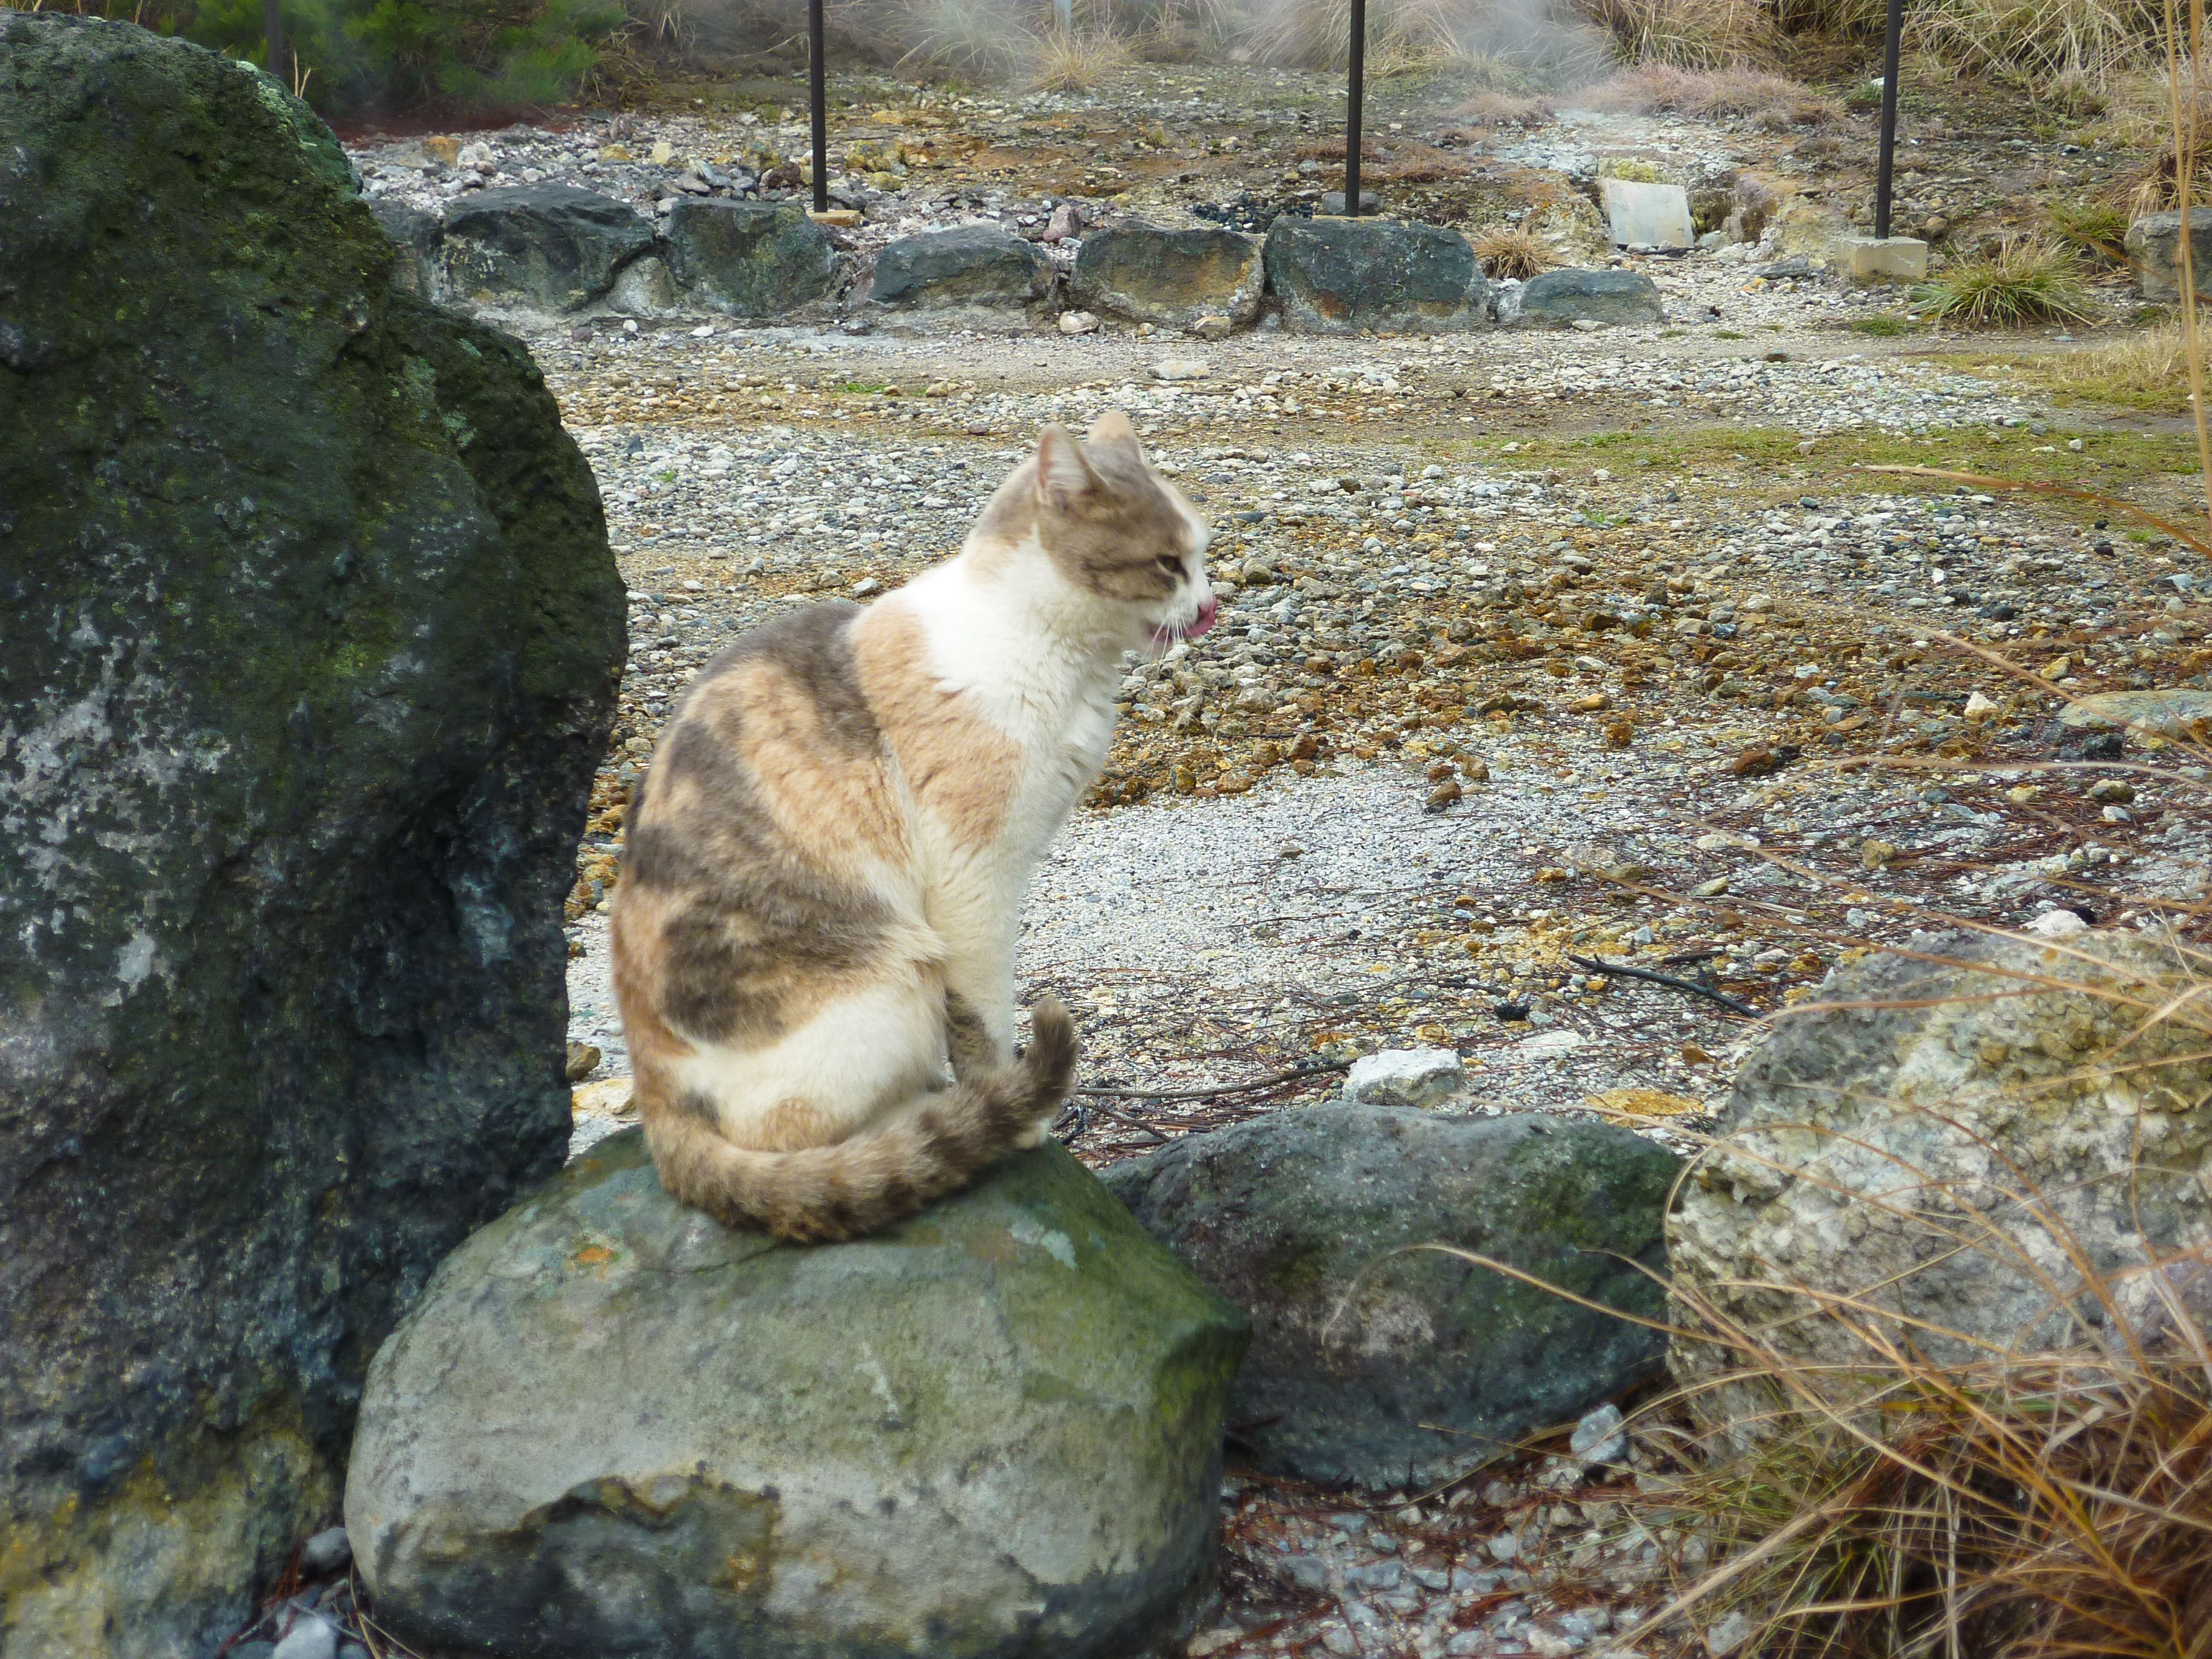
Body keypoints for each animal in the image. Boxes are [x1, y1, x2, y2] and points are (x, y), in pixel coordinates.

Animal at [610, 410, 1217, 1241]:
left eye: (1203, 556)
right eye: (1167, 563)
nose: (1212, 605)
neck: (1037, 641)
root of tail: (652, 1095)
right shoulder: (974, 881)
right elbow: (984, 1019)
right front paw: (1013, 1109)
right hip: (894, 976)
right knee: (792, 1133)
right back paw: (930, 1119)